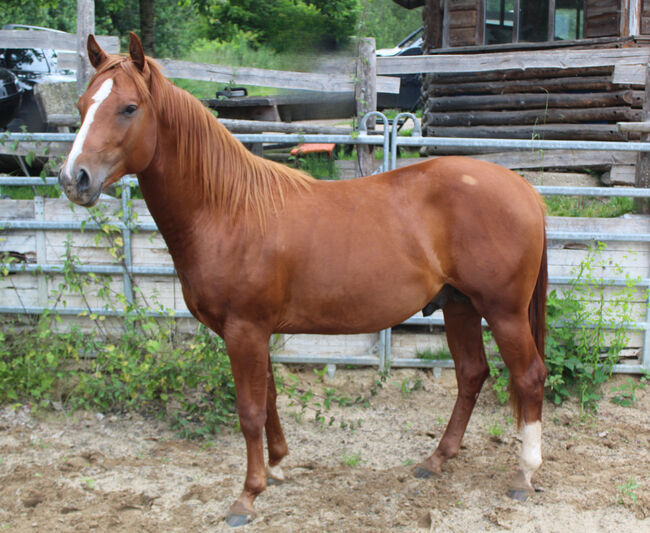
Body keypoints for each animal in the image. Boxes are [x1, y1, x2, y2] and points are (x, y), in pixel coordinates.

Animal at [60, 34, 548, 528]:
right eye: (82, 105)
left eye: (129, 107)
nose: (73, 178)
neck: (227, 209)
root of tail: (525, 191)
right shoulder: (256, 332)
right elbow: (270, 399)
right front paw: (277, 466)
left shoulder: (244, 330)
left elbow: (250, 410)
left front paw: (247, 495)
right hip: (459, 305)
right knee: (472, 373)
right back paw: (436, 459)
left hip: (503, 312)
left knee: (529, 376)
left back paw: (525, 474)